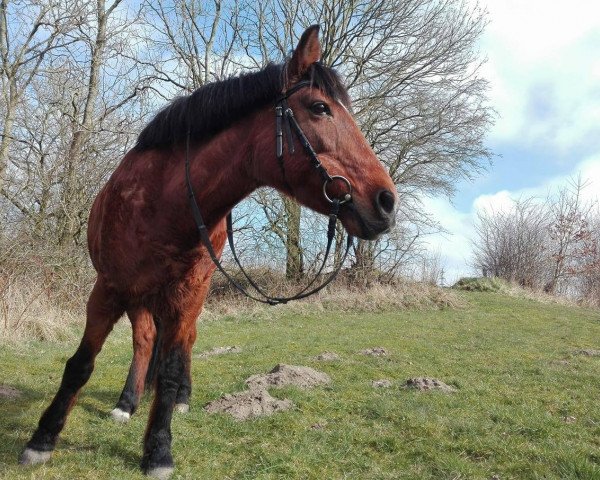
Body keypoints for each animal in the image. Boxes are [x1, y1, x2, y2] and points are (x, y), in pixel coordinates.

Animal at [21, 27, 398, 480]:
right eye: (320, 108)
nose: (386, 202)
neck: (163, 202)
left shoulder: (187, 292)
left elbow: (168, 371)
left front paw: (158, 449)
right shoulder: (108, 287)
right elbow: (81, 364)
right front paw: (42, 439)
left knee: (181, 344)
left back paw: (179, 398)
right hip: (138, 295)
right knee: (145, 341)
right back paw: (128, 402)